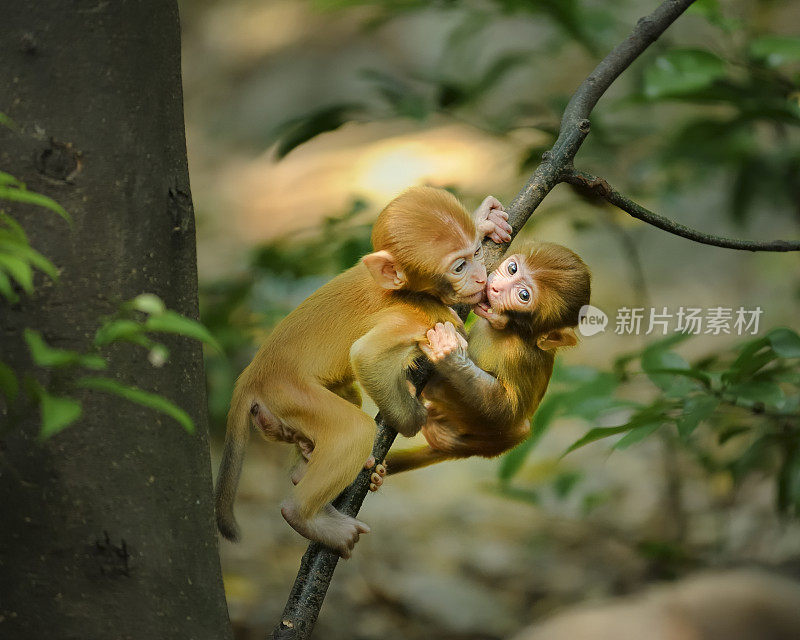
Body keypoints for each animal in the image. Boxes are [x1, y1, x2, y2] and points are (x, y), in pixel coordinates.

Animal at [216, 185, 510, 556]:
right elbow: (366, 356)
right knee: (353, 428)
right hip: (289, 390)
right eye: (459, 266)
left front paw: (485, 220)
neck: (407, 291)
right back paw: (305, 516)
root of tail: (252, 373)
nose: (480, 277)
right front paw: (413, 417)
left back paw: (303, 456)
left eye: (476, 252)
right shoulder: (409, 316)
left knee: (348, 400)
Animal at [384, 242, 592, 472]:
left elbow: (505, 411)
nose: (496, 288)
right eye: (512, 269)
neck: (509, 331)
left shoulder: (517, 357)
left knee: (519, 426)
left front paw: (451, 356)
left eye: (524, 295)